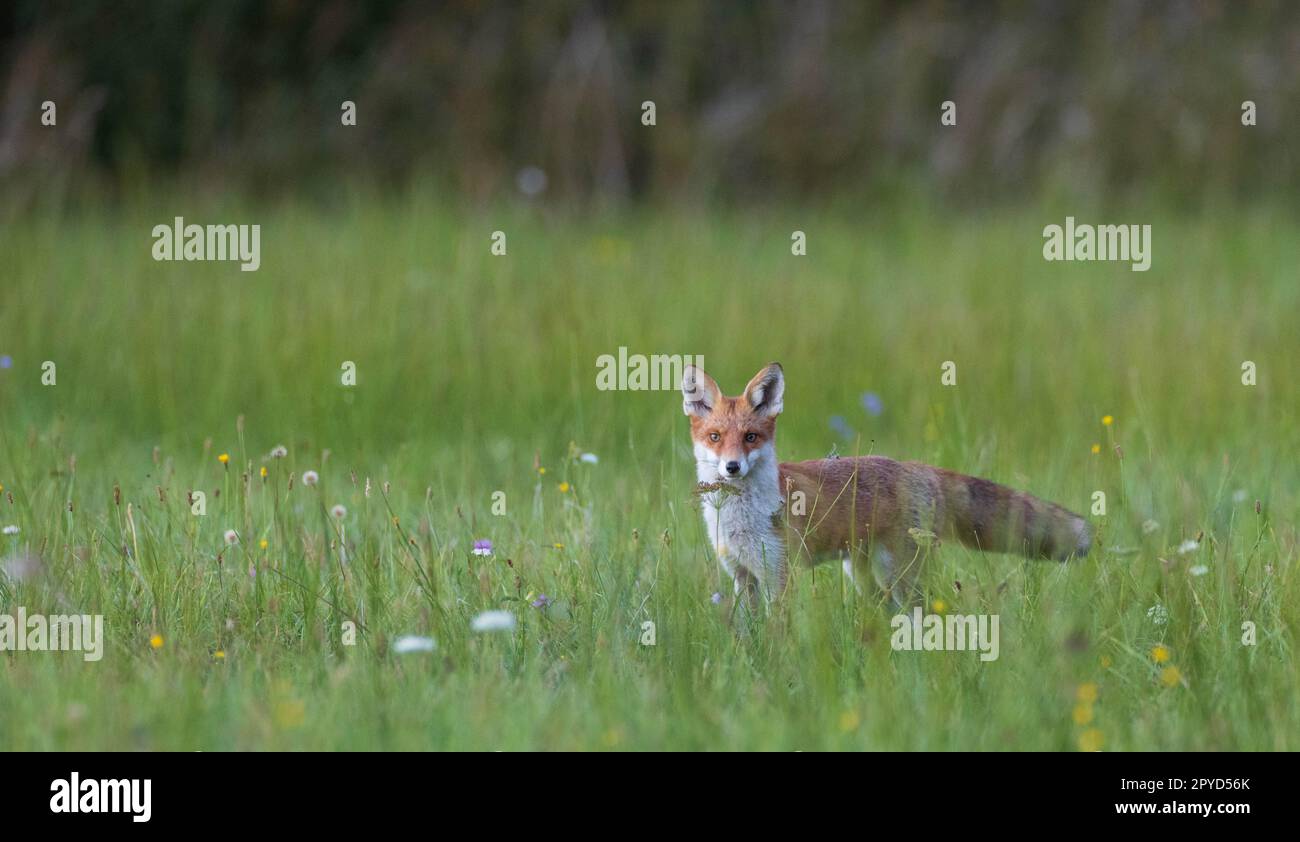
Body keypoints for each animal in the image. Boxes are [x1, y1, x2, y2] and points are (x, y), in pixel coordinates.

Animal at [682, 362, 1092, 608]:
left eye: (750, 437)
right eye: (716, 437)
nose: (732, 467)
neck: (740, 520)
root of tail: (918, 467)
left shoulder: (779, 576)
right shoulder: (743, 576)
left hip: (900, 576)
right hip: (865, 576)